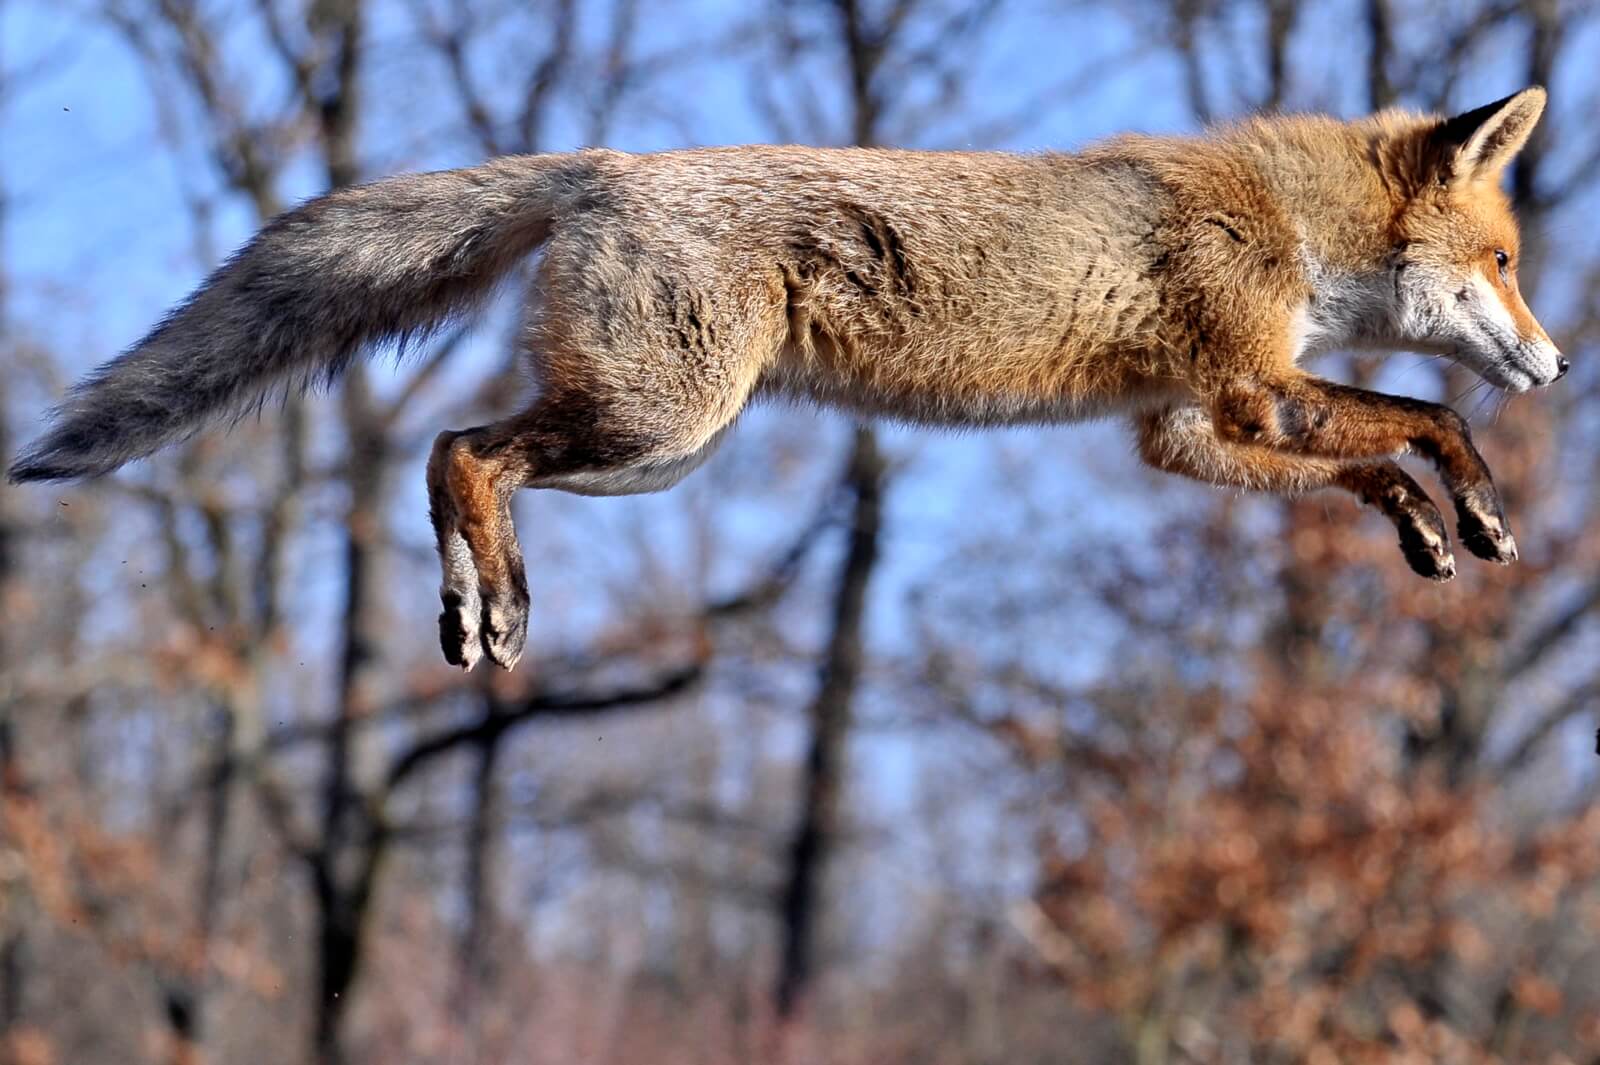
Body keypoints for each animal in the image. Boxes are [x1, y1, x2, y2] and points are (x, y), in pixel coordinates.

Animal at [9, 89, 1561, 665]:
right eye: (1502, 262)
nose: (1556, 360)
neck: (1284, 220)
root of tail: (605, 163)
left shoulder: (1189, 429)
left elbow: (1376, 452)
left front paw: (1437, 526)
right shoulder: (1245, 389)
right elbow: (1419, 416)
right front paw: (1470, 500)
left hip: (655, 445)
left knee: (450, 447)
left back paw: (471, 606)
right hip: (657, 427)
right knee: (460, 449)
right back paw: (494, 605)